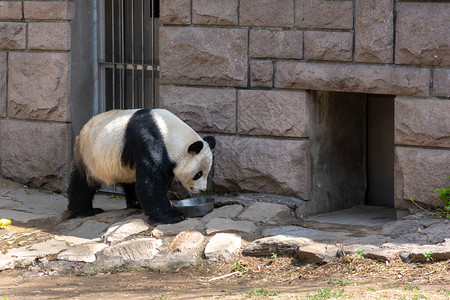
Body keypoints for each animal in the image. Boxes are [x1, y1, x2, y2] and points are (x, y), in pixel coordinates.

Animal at [62, 109, 216, 224]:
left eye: (207, 173)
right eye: (198, 174)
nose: (202, 190)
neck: (168, 130)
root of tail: (82, 130)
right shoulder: (150, 141)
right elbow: (150, 183)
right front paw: (172, 216)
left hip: (120, 164)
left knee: (130, 181)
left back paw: (135, 202)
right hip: (89, 155)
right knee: (82, 182)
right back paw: (84, 210)